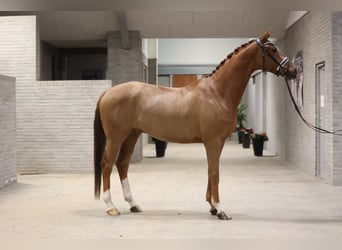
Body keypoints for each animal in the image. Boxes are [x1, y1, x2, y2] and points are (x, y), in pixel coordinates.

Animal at [93, 30, 296, 220]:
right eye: (272, 50)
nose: (293, 70)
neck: (217, 93)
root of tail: (108, 92)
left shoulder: (218, 142)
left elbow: (210, 170)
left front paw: (212, 207)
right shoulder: (213, 141)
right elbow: (215, 172)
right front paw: (220, 210)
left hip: (131, 135)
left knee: (122, 164)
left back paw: (133, 204)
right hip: (116, 137)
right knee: (107, 165)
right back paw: (111, 207)